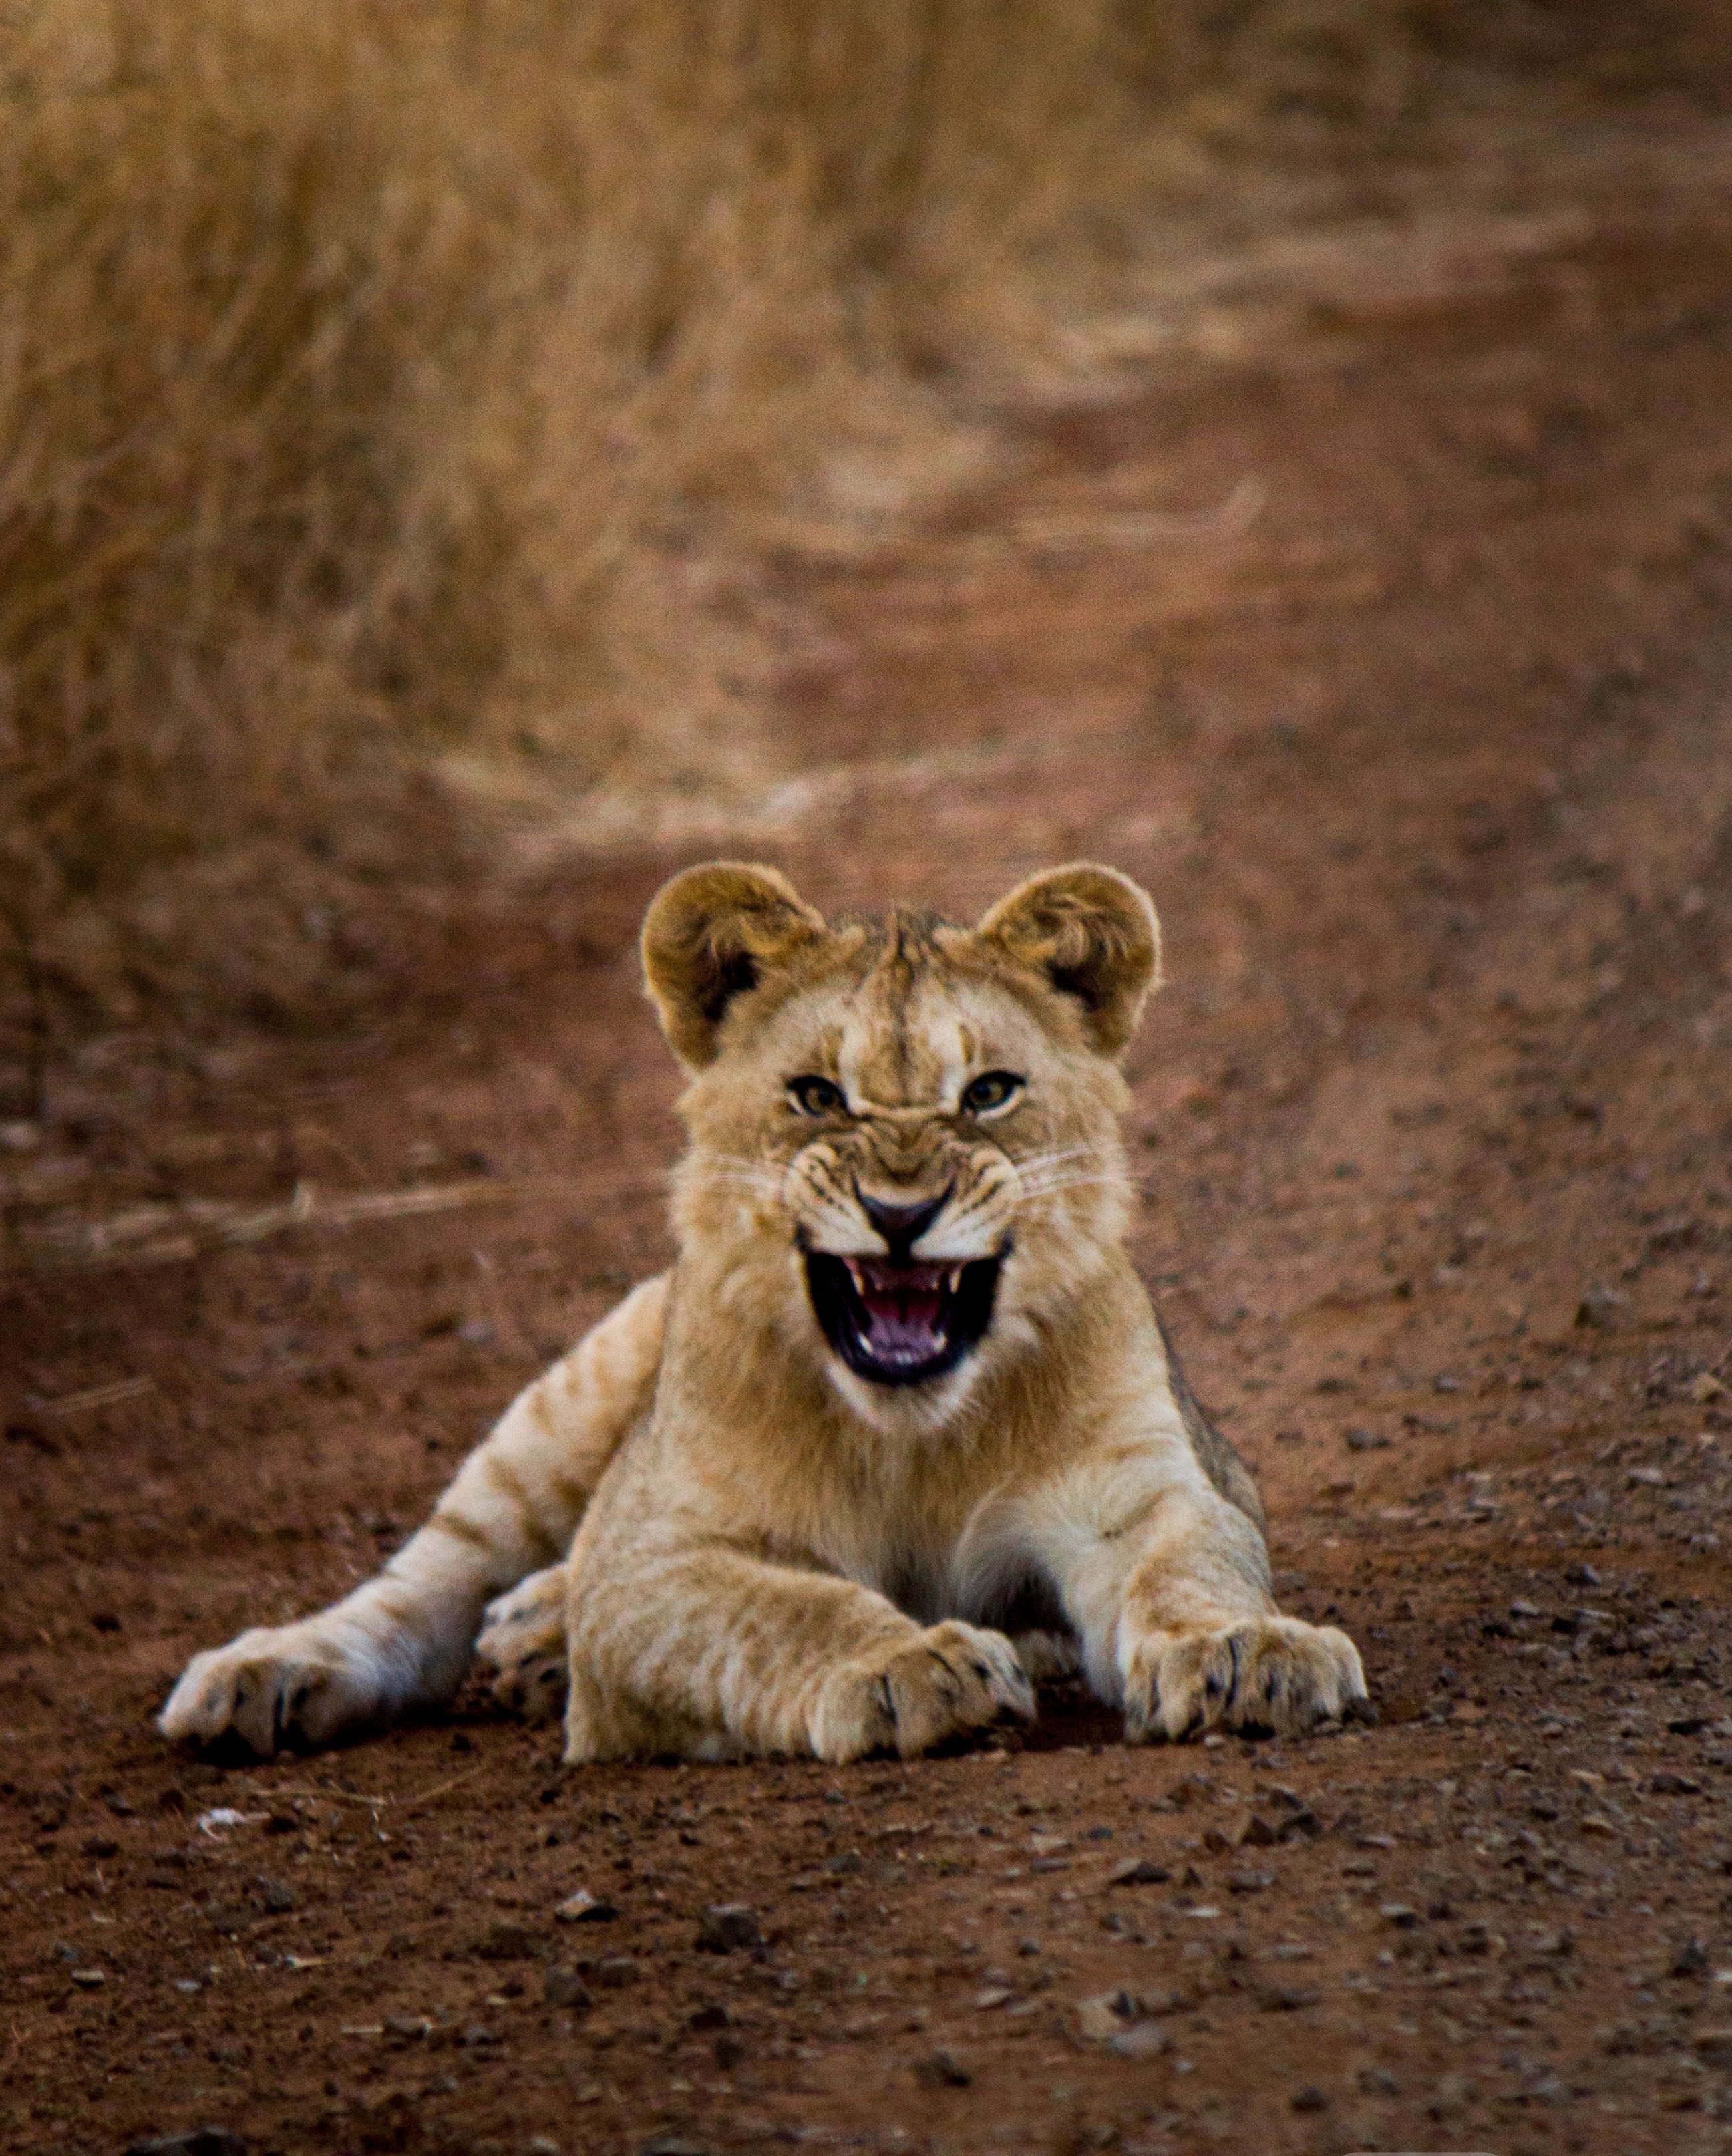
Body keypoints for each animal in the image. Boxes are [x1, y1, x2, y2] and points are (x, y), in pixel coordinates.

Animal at [160, 860, 1368, 1763]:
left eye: (988, 1093)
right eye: (816, 1096)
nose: (900, 1213)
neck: (911, 1433)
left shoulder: (1144, 1488)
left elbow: (1187, 1565)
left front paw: (1249, 1652)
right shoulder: (650, 1563)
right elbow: (787, 1607)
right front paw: (908, 1665)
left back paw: (530, 1634)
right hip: (575, 1397)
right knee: (429, 1577)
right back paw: (270, 1675)